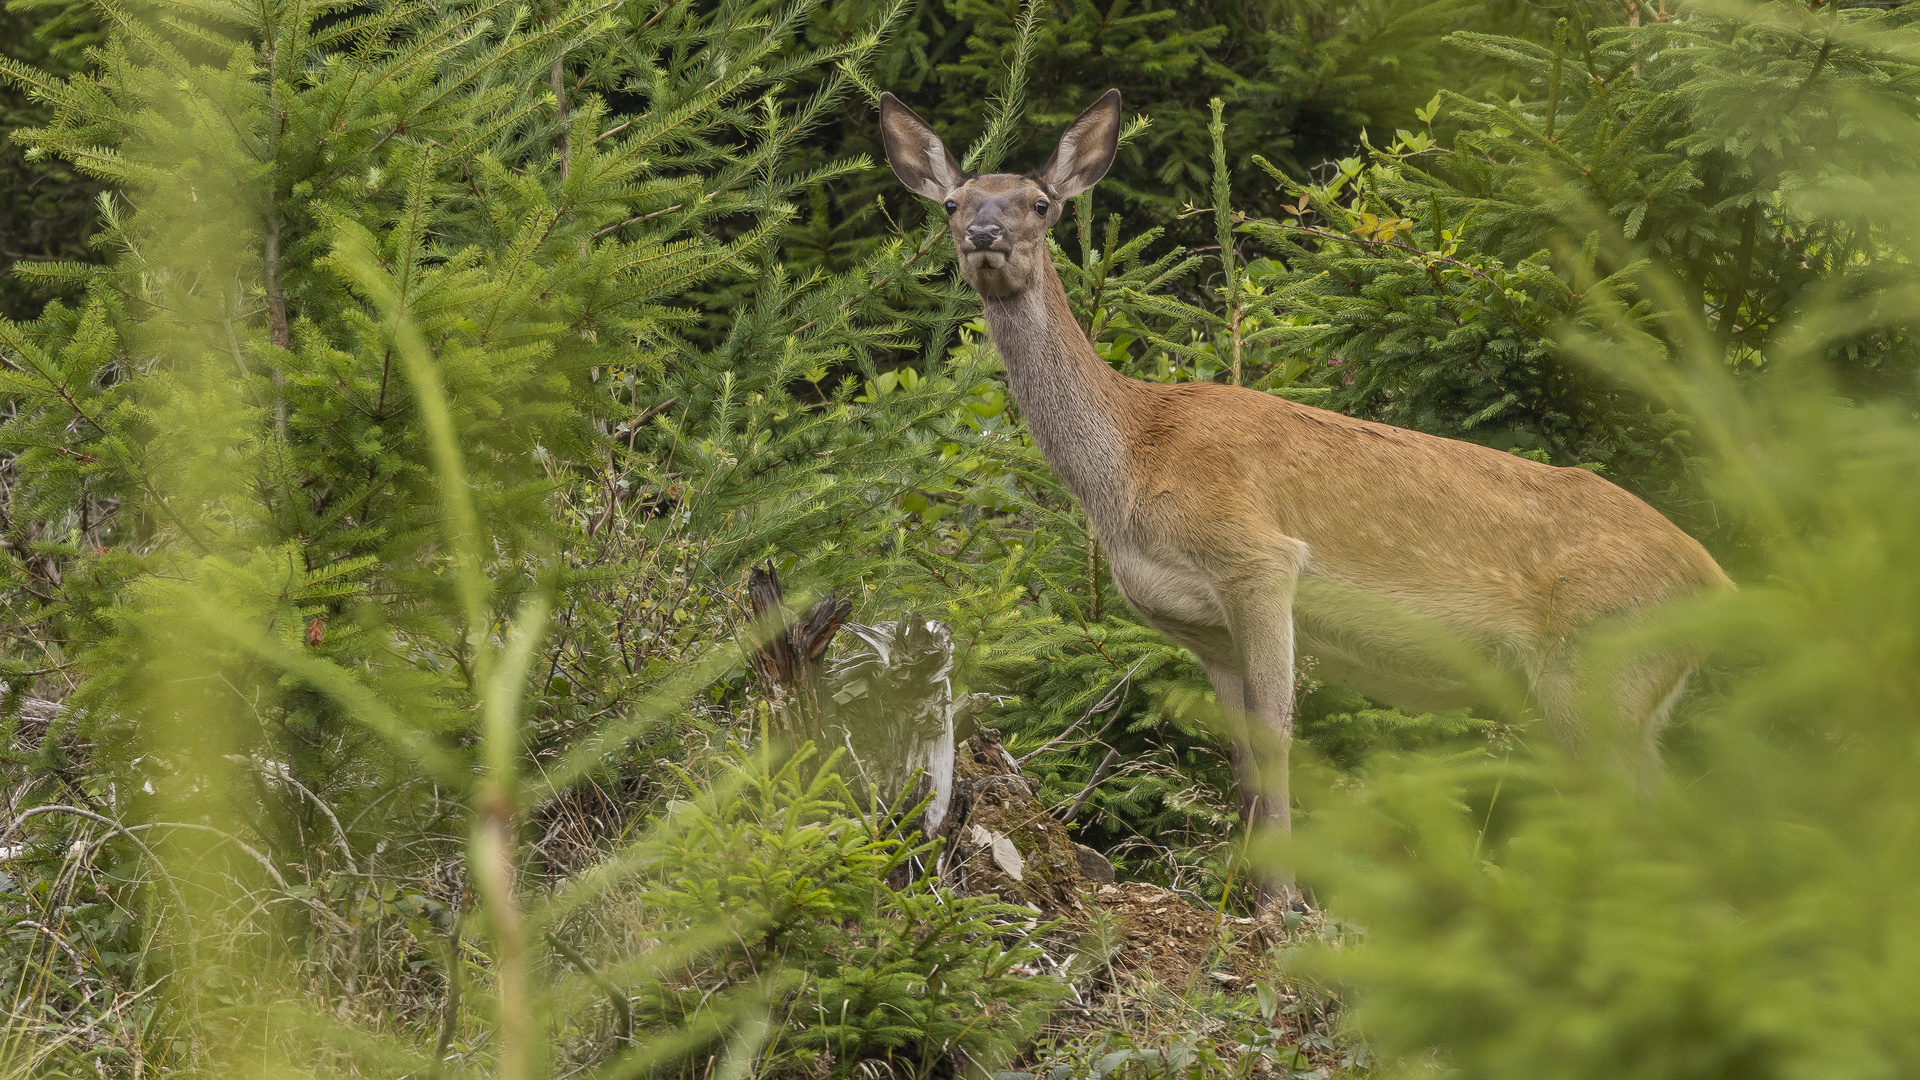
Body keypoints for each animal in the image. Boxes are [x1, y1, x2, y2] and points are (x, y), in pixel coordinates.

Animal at [879, 90, 1735, 899]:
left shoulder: (1257, 557)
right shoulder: (1200, 628)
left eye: (1040, 202)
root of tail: (1717, 578)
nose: (984, 235)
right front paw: (1251, 891)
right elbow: (1241, 754)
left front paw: (1284, 901)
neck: (1130, 462)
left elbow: (1280, 737)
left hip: (1601, 661)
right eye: (952, 202)